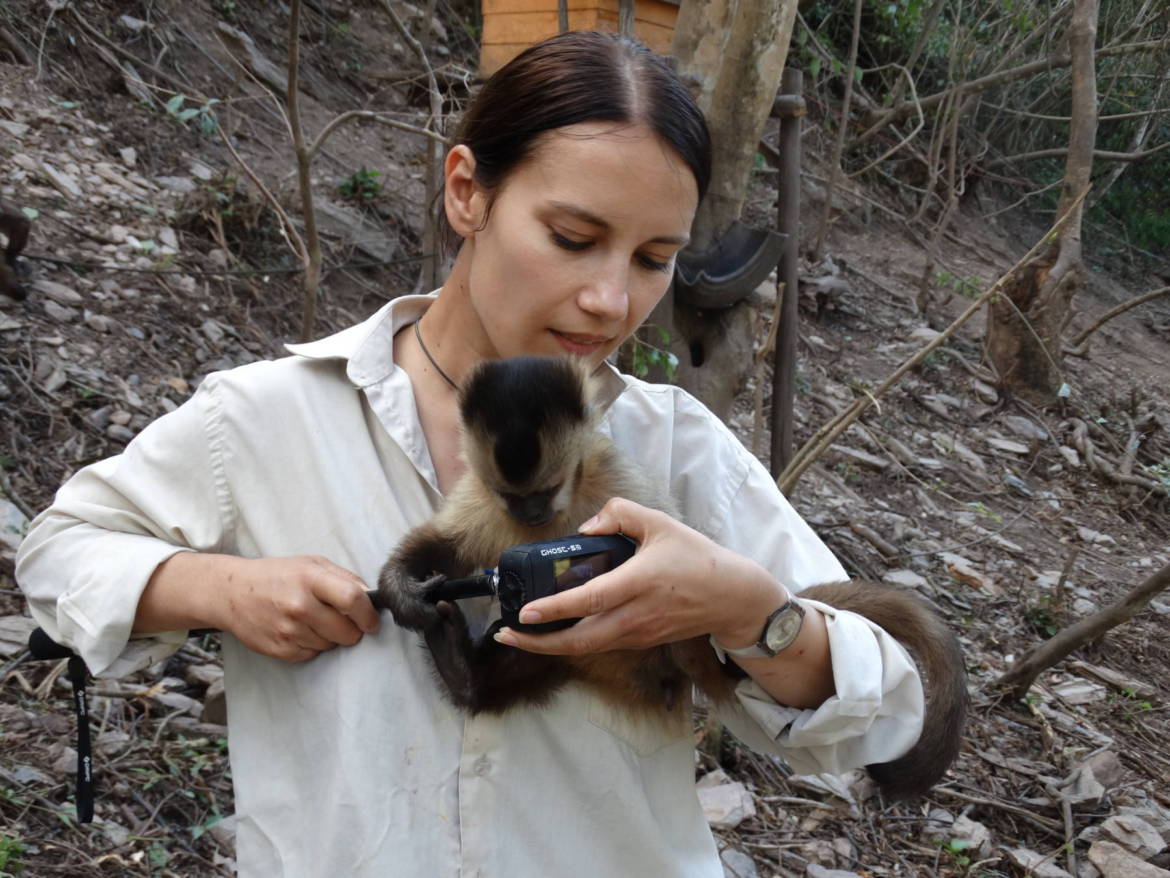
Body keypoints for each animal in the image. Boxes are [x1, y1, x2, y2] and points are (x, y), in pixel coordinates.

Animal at [376, 353, 968, 800]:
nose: (533, 515)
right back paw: (461, 670)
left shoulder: (614, 479)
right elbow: (447, 548)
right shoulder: (485, 497)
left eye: (547, 489)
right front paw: (403, 587)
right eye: (512, 496)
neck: (557, 513)